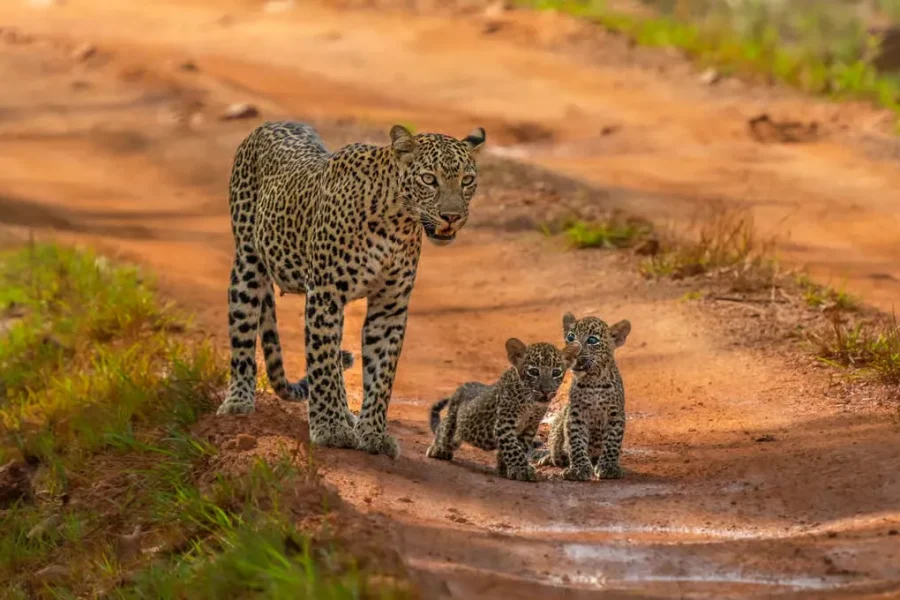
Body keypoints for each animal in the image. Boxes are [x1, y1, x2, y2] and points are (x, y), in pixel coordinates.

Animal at [215, 121, 486, 460]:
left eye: (467, 180)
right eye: (429, 179)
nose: (452, 217)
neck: (397, 222)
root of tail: (270, 124)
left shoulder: (389, 307)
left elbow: (381, 375)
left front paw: (373, 434)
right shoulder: (325, 293)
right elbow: (322, 365)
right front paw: (329, 429)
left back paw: (348, 415)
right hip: (247, 265)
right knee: (244, 338)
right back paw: (238, 401)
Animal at [426, 338, 581, 482]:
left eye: (556, 372)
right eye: (534, 371)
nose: (546, 391)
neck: (531, 403)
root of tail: (462, 386)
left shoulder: (529, 428)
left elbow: (519, 446)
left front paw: (505, 468)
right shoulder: (504, 423)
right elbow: (513, 447)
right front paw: (522, 469)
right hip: (453, 417)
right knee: (444, 428)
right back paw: (437, 449)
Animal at [535, 313, 631, 480]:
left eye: (592, 340)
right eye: (571, 336)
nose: (573, 351)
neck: (593, 382)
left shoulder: (615, 414)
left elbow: (612, 441)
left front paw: (609, 467)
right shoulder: (575, 414)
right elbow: (576, 441)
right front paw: (579, 469)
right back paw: (550, 458)